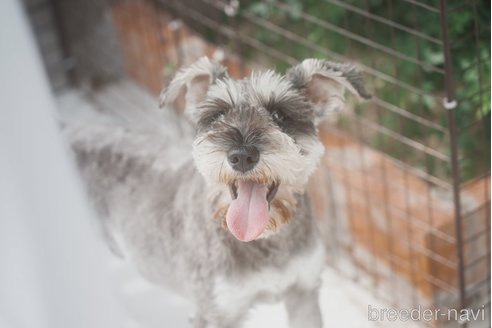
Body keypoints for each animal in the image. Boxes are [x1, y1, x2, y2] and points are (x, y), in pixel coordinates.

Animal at [68, 57, 368, 326]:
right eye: (217, 115)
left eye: (280, 115)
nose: (242, 156)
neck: (264, 240)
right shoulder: (215, 311)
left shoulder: (303, 293)